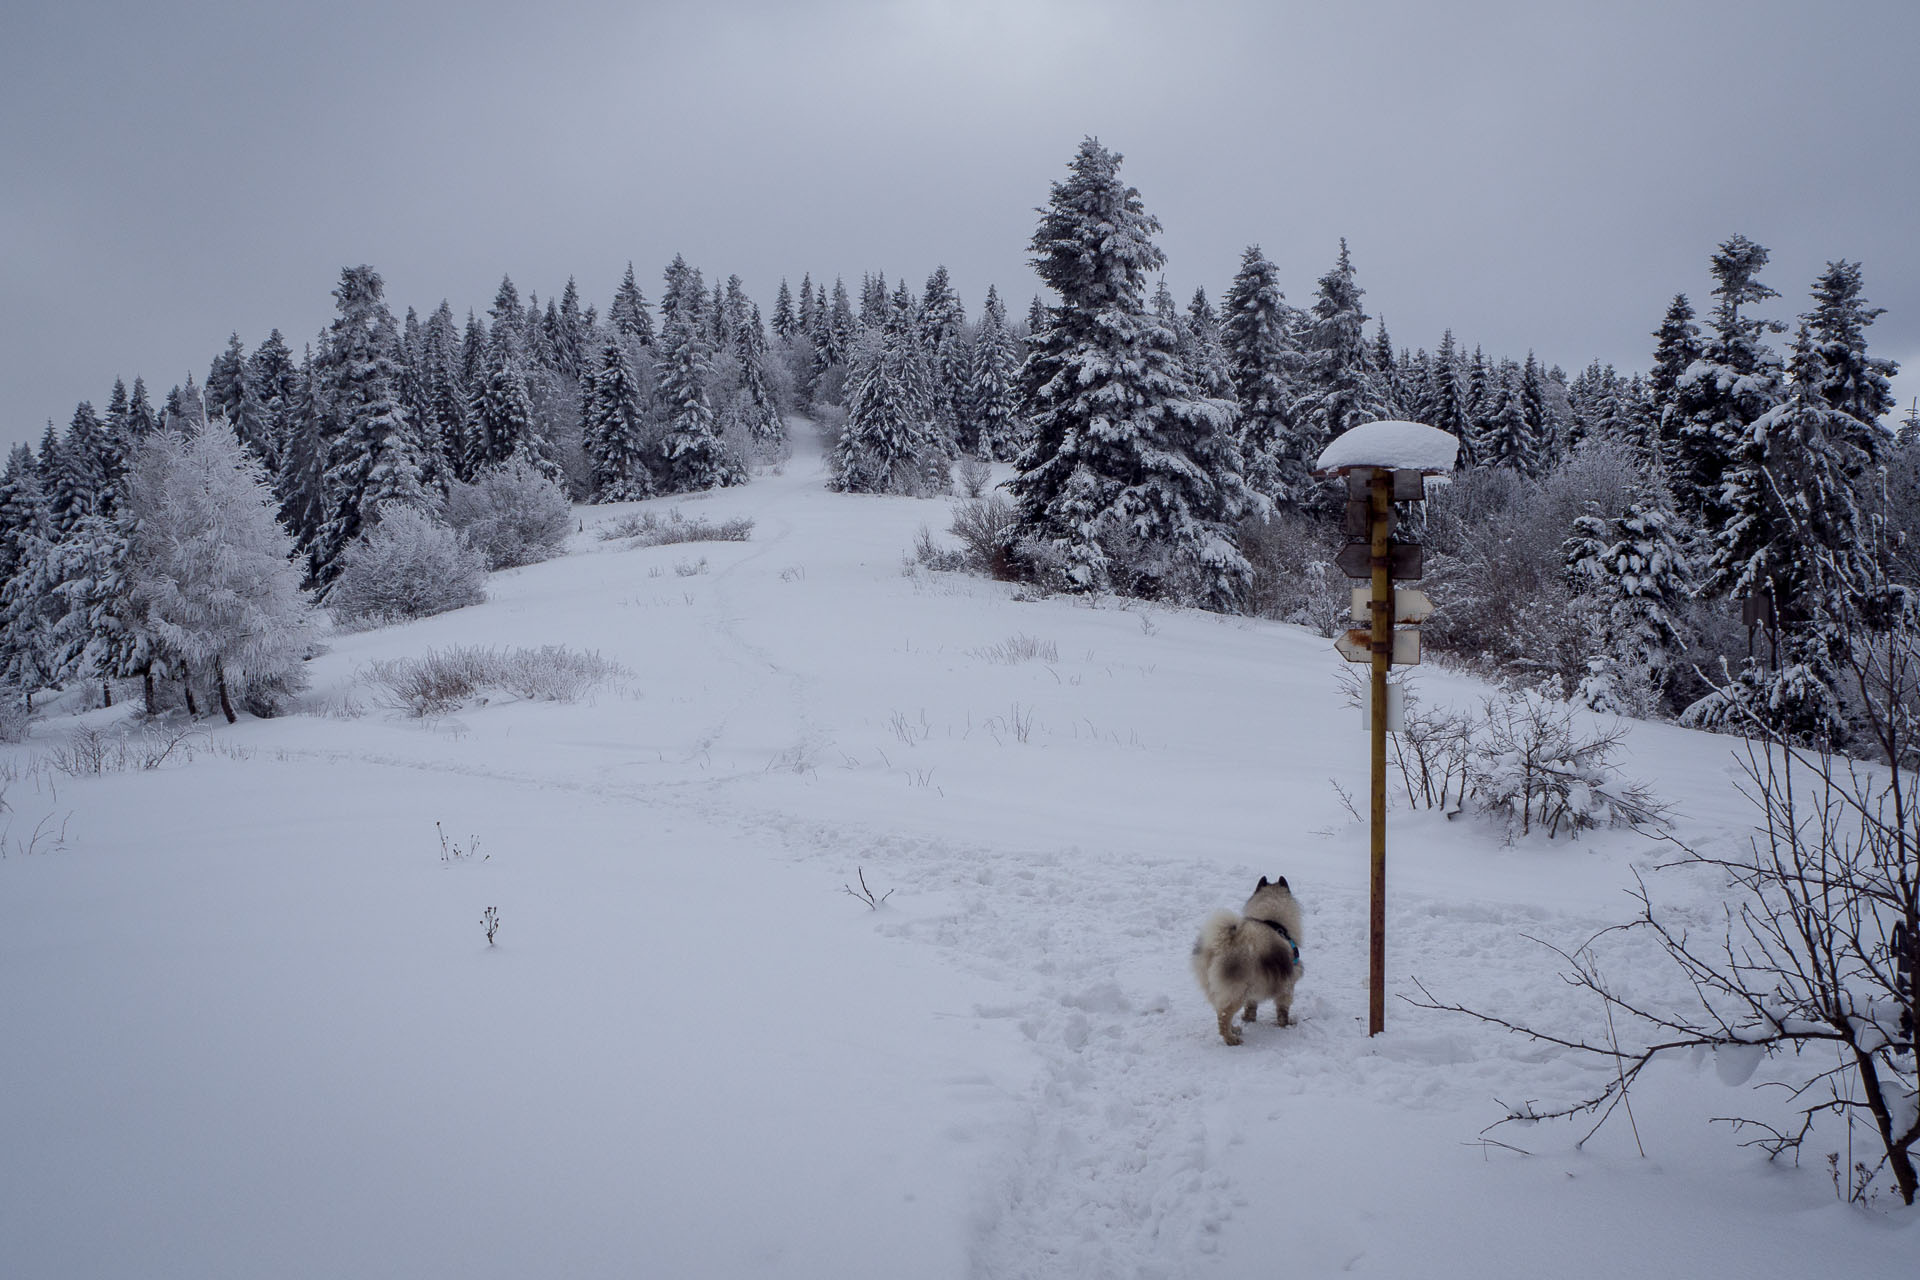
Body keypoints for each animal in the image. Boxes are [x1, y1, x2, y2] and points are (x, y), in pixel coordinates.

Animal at [1190, 875, 1297, 1043]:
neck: (1273, 920)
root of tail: (1221, 943)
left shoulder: (1255, 986)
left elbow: (1251, 1006)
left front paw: (1249, 1019)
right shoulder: (1287, 984)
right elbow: (1283, 1009)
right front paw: (1286, 1025)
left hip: (1221, 989)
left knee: (1220, 1011)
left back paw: (1234, 1030)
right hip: (1236, 992)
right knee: (1223, 1016)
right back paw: (1231, 1039)